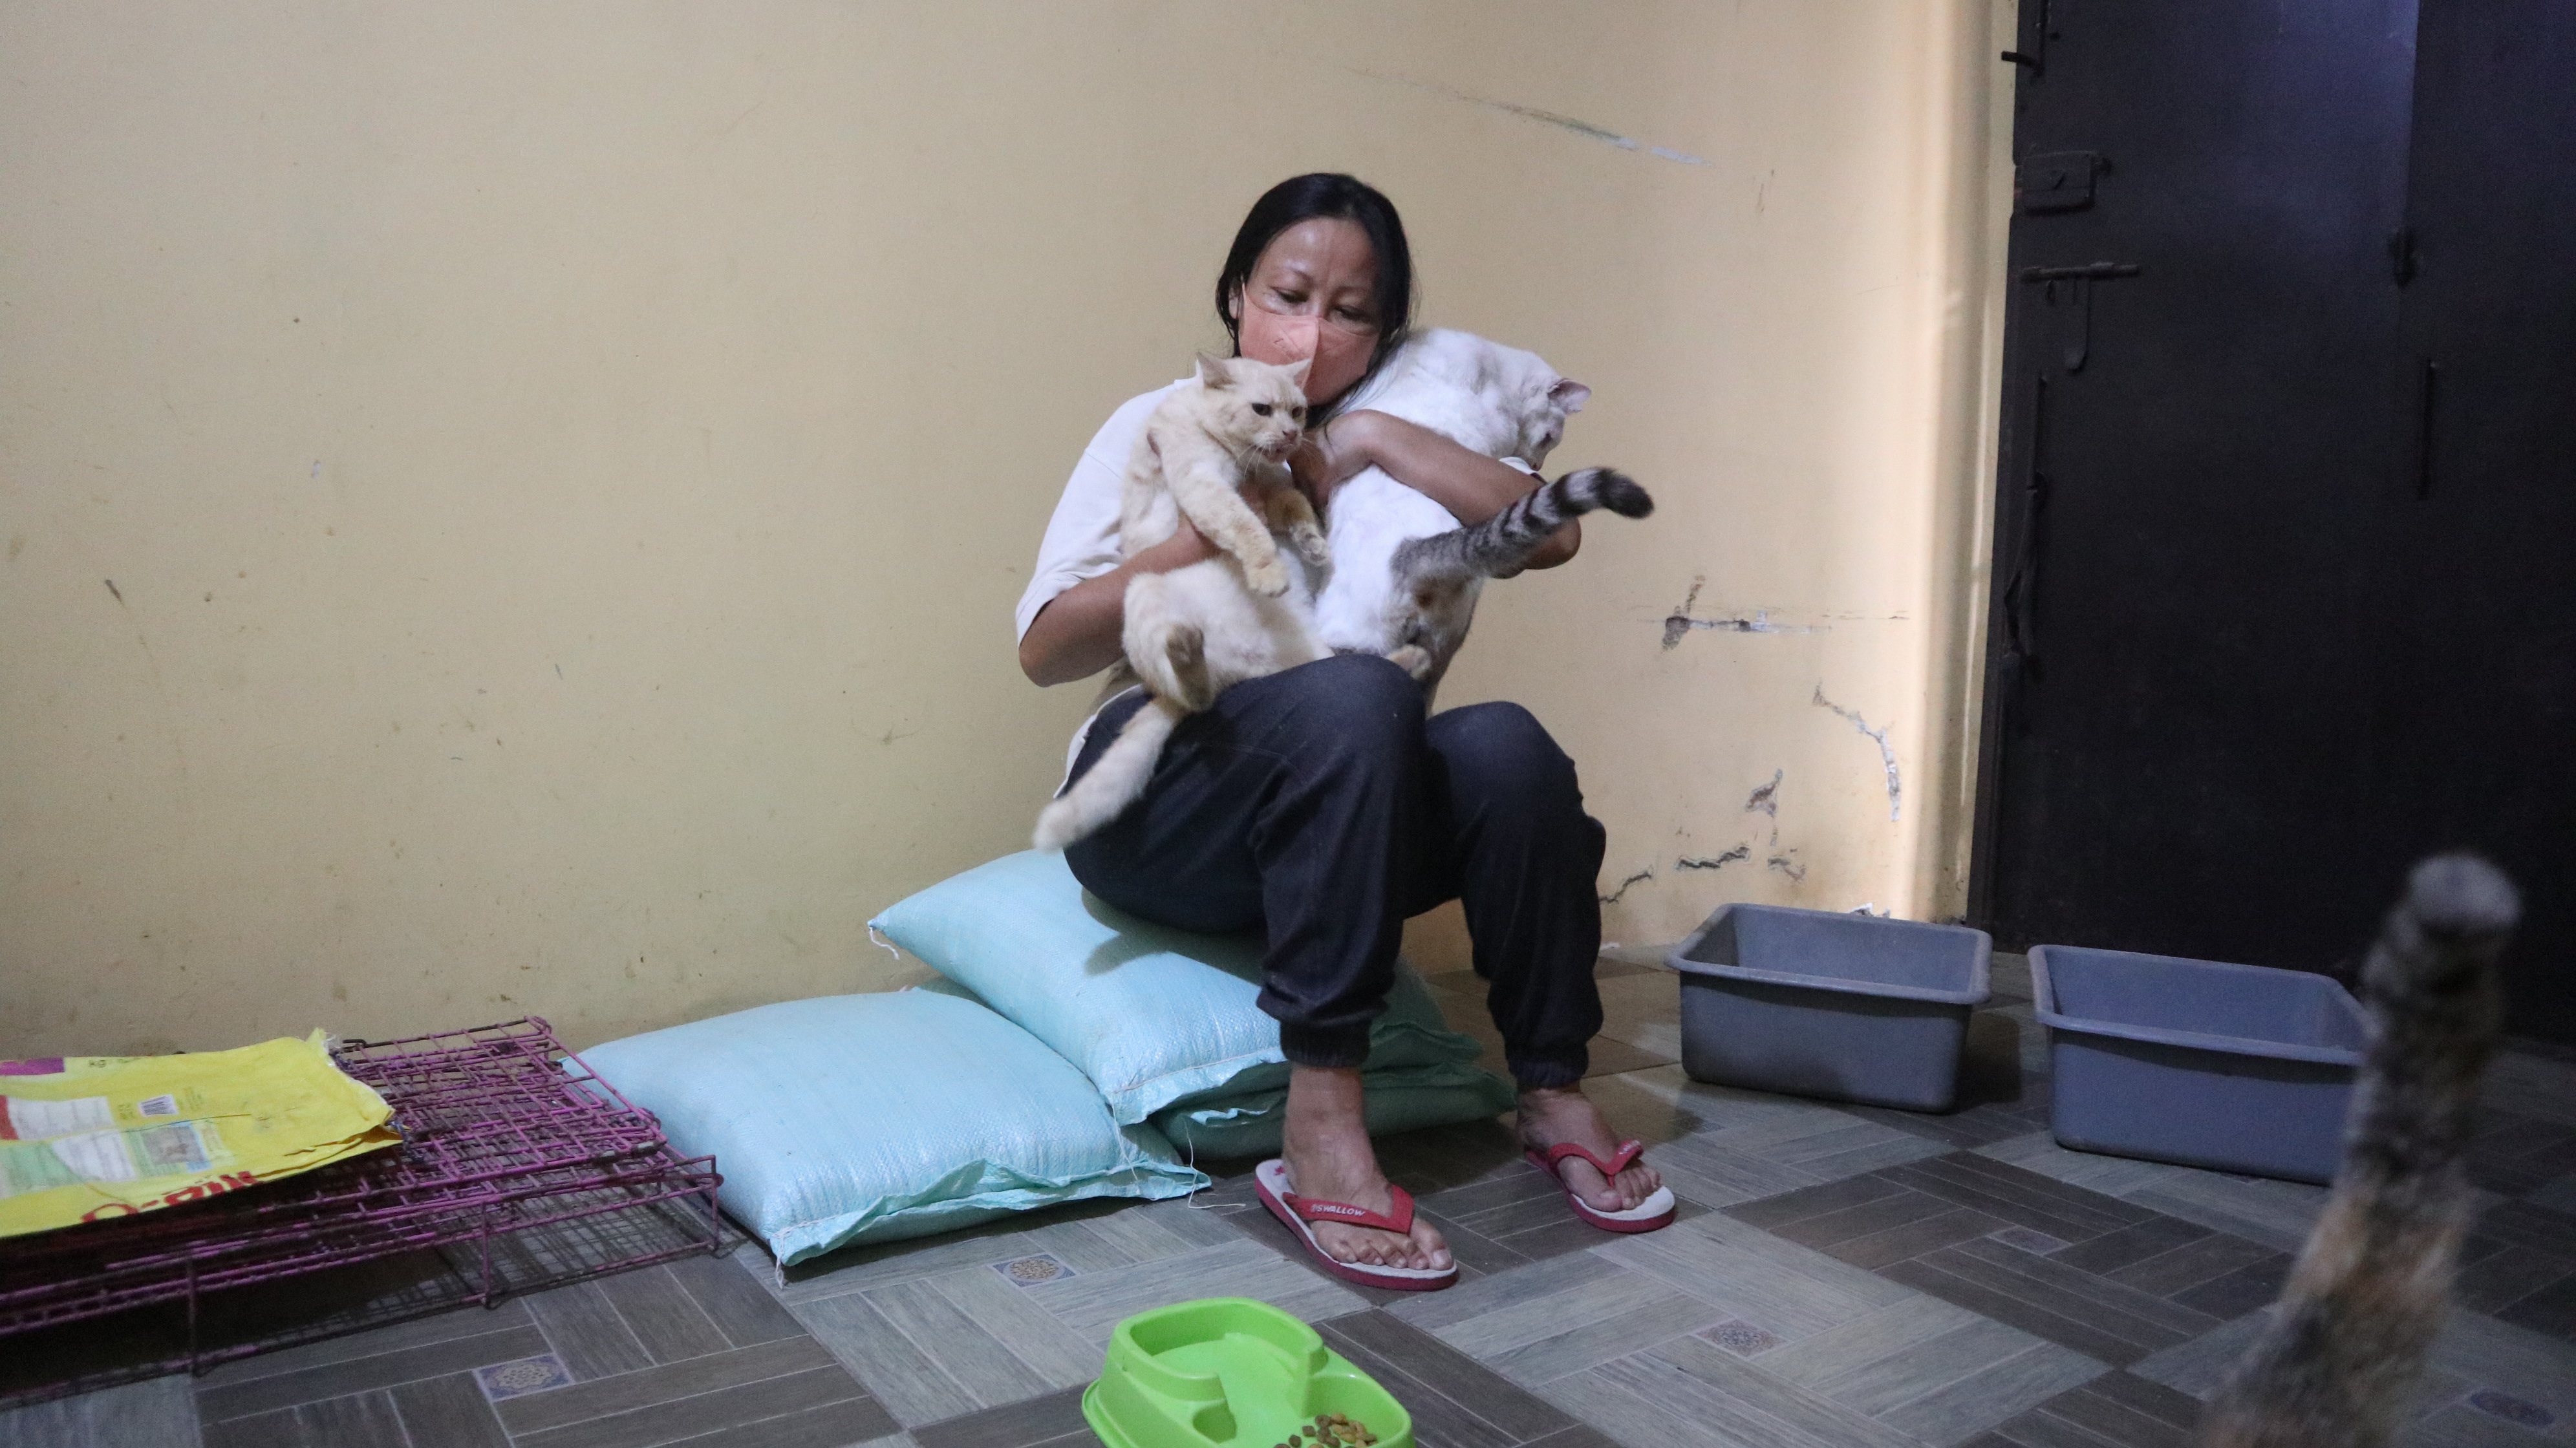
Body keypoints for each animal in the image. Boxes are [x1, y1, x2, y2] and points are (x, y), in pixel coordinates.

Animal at [1032, 352, 1334, 851]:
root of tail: (1238, 665)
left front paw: (1316, 549)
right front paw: (1269, 574)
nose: (1292, 435)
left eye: (1298, 411)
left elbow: (1298, 507)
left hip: (1315, 653)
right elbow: (1246, 526)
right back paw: (1186, 650)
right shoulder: (1206, 485)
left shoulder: (1273, 491)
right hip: (1142, 595)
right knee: (1193, 696)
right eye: (1262, 410)